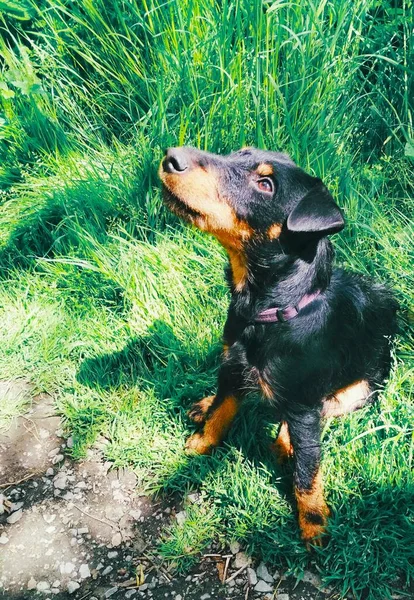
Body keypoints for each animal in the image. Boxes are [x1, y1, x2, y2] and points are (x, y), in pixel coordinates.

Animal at [158, 145, 398, 544]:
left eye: (265, 184)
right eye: (237, 152)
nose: (171, 156)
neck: (268, 310)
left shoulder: (303, 404)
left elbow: (307, 470)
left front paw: (313, 523)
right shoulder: (231, 365)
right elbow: (220, 411)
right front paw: (199, 444)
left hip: (360, 390)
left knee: (319, 416)